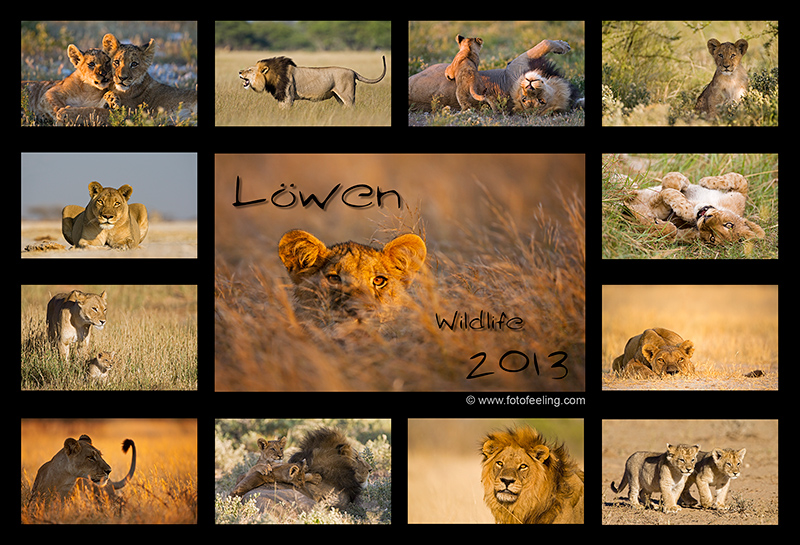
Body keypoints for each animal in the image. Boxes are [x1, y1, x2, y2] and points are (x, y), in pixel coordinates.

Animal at [238, 55, 386, 108]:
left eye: (249, 70)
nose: (239, 72)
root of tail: (353, 71)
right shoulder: (281, 97)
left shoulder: (288, 96)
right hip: (339, 97)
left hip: (348, 96)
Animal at [409, 39, 583, 113]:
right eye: (525, 99)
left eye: (540, 101)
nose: (530, 84)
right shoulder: (517, 63)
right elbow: (545, 43)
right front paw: (563, 46)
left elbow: (544, 43)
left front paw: (562, 46)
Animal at [623, 172, 765, 244]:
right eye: (729, 224)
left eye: (712, 238)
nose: (706, 219)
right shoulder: (738, 196)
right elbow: (740, 178)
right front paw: (705, 181)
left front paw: (686, 211)